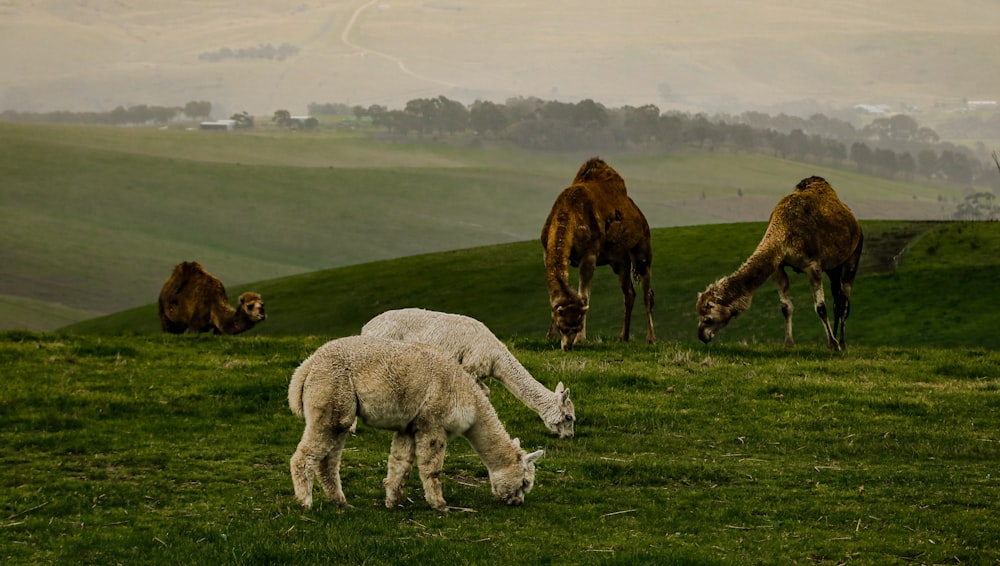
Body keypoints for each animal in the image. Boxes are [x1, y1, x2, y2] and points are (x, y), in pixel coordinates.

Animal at [540, 159, 656, 350]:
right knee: (629, 292)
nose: (568, 346)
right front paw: (550, 337)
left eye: (577, 325)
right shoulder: (546, 252)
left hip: (642, 249)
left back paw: (651, 338)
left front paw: (581, 339)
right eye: (562, 326)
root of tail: (640, 215)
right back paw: (623, 337)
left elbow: (584, 296)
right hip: (619, 260)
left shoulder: (589, 254)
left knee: (648, 292)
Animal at [696, 178, 860, 350]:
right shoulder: (778, 266)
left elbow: (820, 307)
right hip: (833, 267)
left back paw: (842, 342)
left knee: (844, 299)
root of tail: (855, 222)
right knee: (837, 298)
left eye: (708, 318)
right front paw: (788, 343)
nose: (702, 336)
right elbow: (786, 307)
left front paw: (834, 344)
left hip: (854, 254)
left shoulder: (812, 265)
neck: (784, 230)